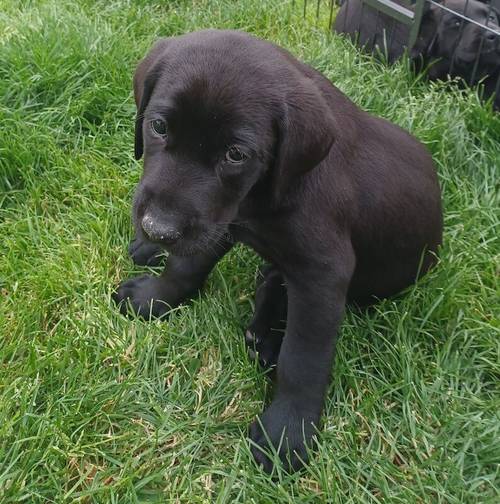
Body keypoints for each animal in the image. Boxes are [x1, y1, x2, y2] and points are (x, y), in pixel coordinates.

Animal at [113, 30, 442, 472]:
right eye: (159, 126)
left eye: (236, 154)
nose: (158, 228)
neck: (263, 198)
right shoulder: (224, 216)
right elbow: (186, 265)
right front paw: (154, 297)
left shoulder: (322, 274)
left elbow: (303, 357)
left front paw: (287, 431)